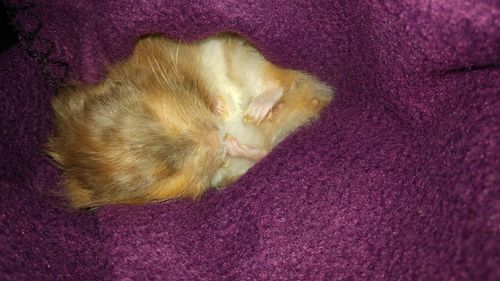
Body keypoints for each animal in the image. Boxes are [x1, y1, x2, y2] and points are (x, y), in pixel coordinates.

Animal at [45, 33, 334, 208]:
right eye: (165, 176)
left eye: (149, 114)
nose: (218, 137)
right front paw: (226, 132)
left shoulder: (166, 49)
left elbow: (200, 82)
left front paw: (220, 107)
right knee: (262, 151)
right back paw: (244, 135)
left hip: (244, 54)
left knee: (277, 83)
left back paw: (256, 111)